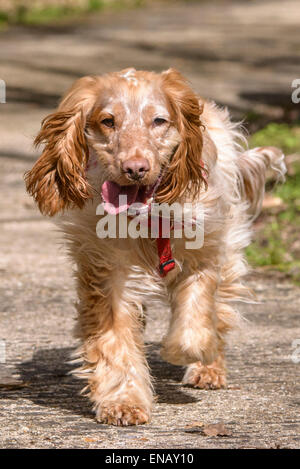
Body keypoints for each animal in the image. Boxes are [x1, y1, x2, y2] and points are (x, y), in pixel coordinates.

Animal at [24, 68, 284, 424]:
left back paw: (209, 368)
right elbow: (115, 339)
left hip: (229, 247)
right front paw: (123, 401)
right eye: (108, 121)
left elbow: (196, 317)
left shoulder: (203, 251)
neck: (148, 219)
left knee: (222, 308)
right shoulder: (107, 271)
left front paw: (185, 351)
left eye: (159, 121)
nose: (135, 168)